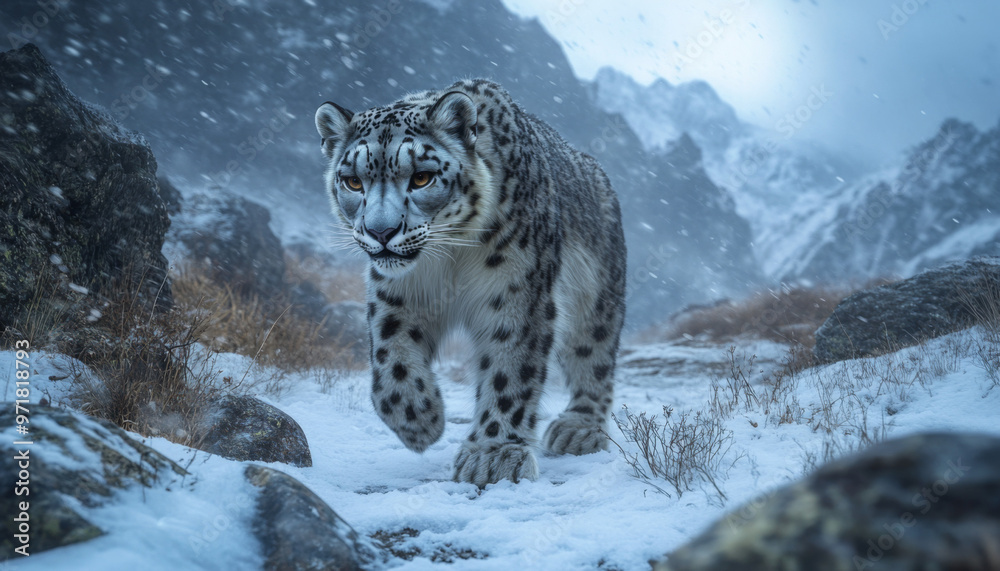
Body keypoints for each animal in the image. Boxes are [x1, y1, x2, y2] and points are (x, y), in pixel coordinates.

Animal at [314, 79, 626, 488]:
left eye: (421, 177)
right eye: (353, 181)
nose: (381, 232)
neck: (449, 255)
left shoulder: (517, 292)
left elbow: (509, 369)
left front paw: (493, 455)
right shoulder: (397, 293)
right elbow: (389, 354)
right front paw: (419, 419)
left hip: (597, 294)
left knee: (593, 356)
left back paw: (579, 428)